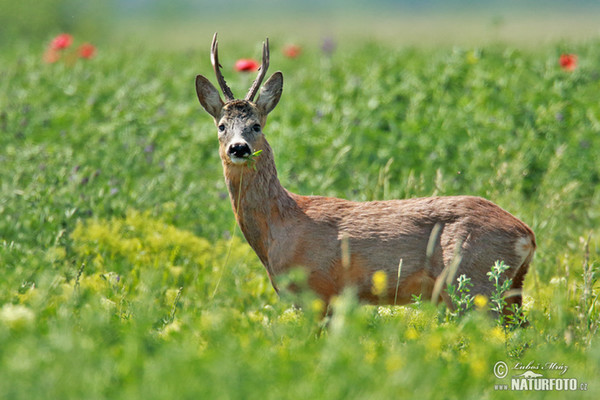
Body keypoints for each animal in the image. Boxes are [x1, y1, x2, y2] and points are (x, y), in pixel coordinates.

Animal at [196, 33, 536, 312]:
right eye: (221, 126)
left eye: (256, 125)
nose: (239, 148)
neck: (280, 225)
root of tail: (527, 234)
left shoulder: (316, 292)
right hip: (507, 290)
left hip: (473, 281)